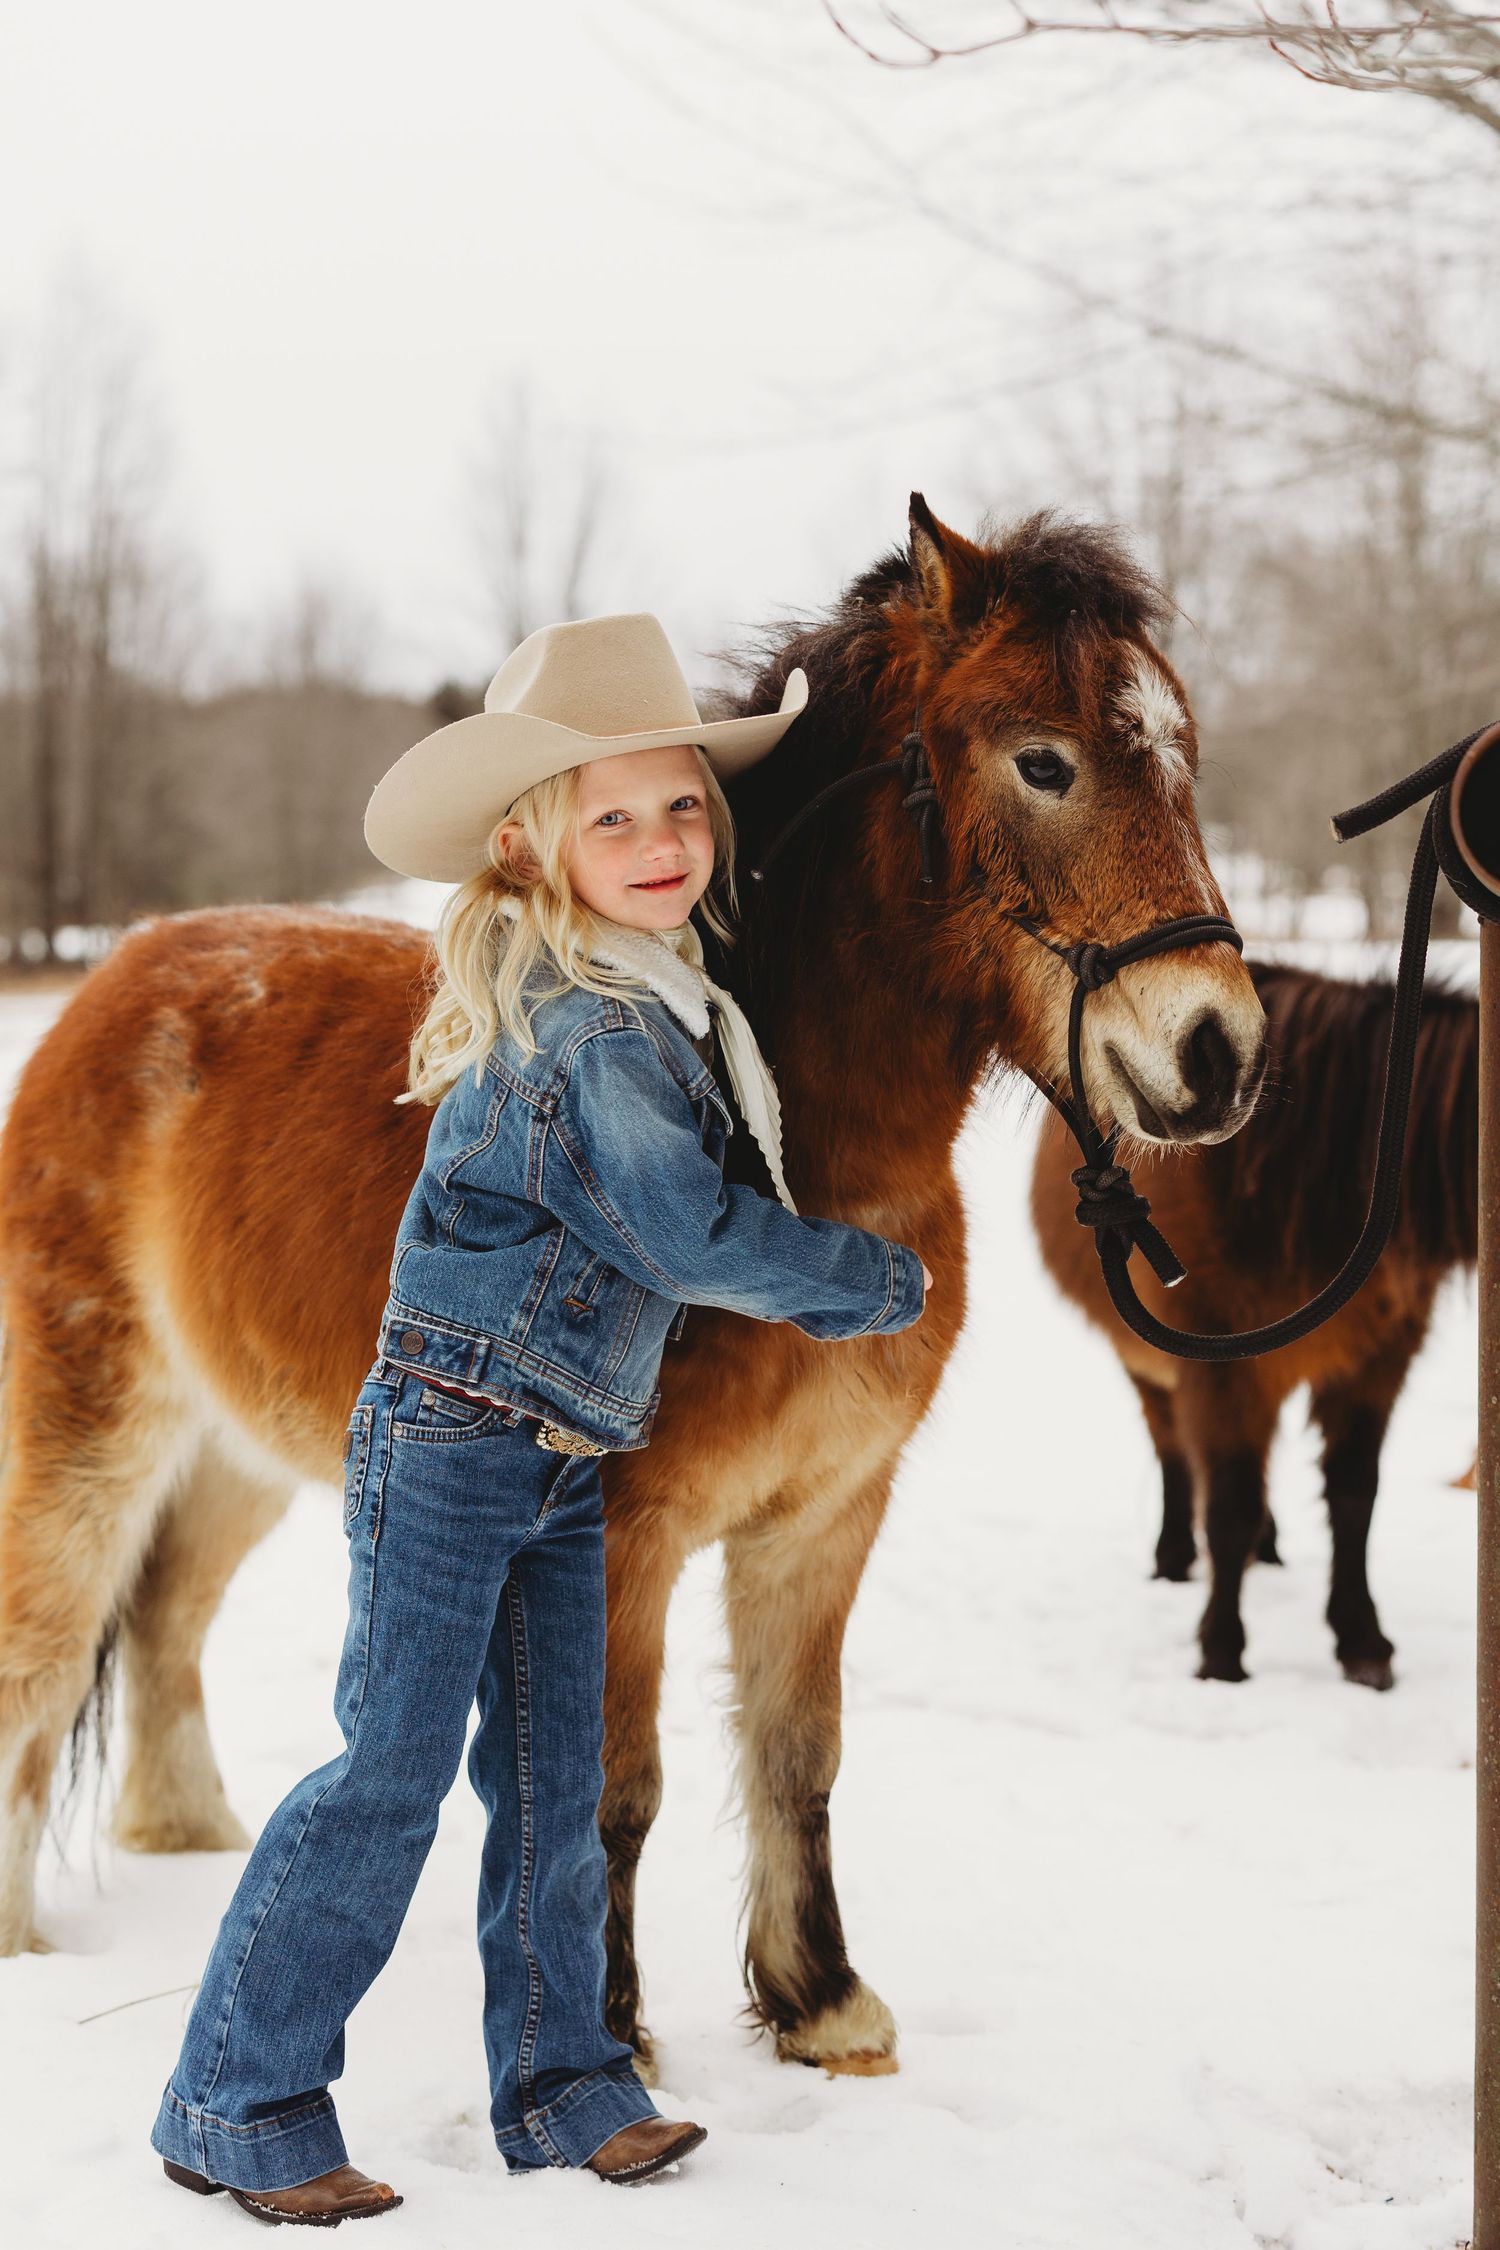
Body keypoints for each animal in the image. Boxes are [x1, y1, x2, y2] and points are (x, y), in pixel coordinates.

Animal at [1030, 960, 1478, 1690]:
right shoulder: (1220, 1368)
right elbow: (1229, 1503)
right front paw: (1221, 1651)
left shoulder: (1375, 1361)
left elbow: (1354, 1496)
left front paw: (1361, 1639)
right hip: (1147, 1362)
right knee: (1174, 1452)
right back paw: (1175, 1556)